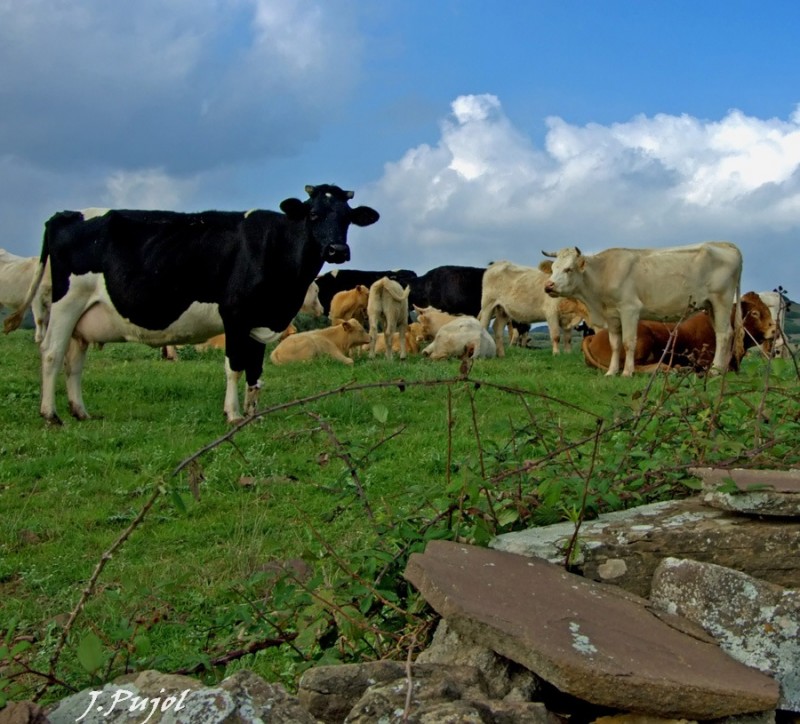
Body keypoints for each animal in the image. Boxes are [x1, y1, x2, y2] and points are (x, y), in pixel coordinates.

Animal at [3, 181, 380, 428]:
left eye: (347, 218)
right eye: (313, 214)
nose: (337, 250)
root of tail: (64, 214)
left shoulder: (259, 321)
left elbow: (256, 372)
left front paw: (253, 414)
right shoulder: (235, 315)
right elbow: (235, 367)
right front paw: (232, 414)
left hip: (84, 315)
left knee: (74, 361)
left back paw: (80, 411)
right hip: (66, 303)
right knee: (51, 354)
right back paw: (51, 415)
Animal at [540, 245, 748, 378]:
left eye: (568, 269)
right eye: (553, 268)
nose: (548, 286)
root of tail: (723, 244)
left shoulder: (630, 309)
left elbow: (628, 342)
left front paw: (627, 372)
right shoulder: (612, 315)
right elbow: (615, 344)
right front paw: (611, 372)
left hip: (722, 300)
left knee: (723, 335)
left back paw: (715, 370)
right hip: (711, 306)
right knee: (725, 333)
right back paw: (722, 369)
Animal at [580, 292, 776, 376]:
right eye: (755, 313)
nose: (774, 329)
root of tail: (594, 336)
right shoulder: (705, 361)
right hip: (641, 339)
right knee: (629, 367)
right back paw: (666, 368)